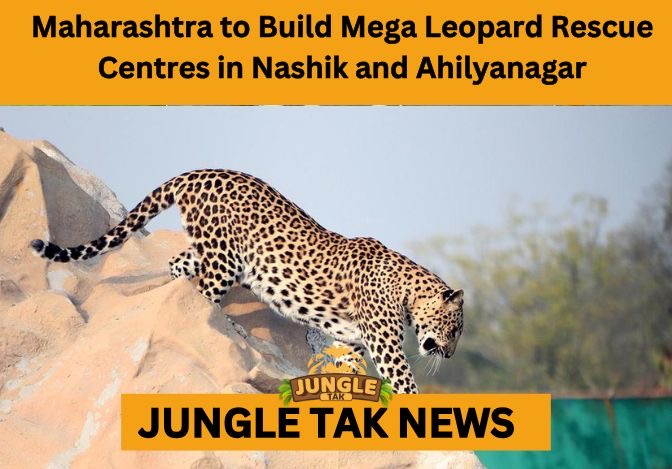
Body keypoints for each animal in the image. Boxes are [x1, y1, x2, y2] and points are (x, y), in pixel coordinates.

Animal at [31, 169, 464, 393]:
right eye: (455, 329)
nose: (450, 355)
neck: (408, 290)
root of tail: (199, 172)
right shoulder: (385, 346)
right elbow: (405, 383)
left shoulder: (352, 339)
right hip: (223, 260)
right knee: (202, 295)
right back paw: (229, 327)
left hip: (216, 253)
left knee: (179, 266)